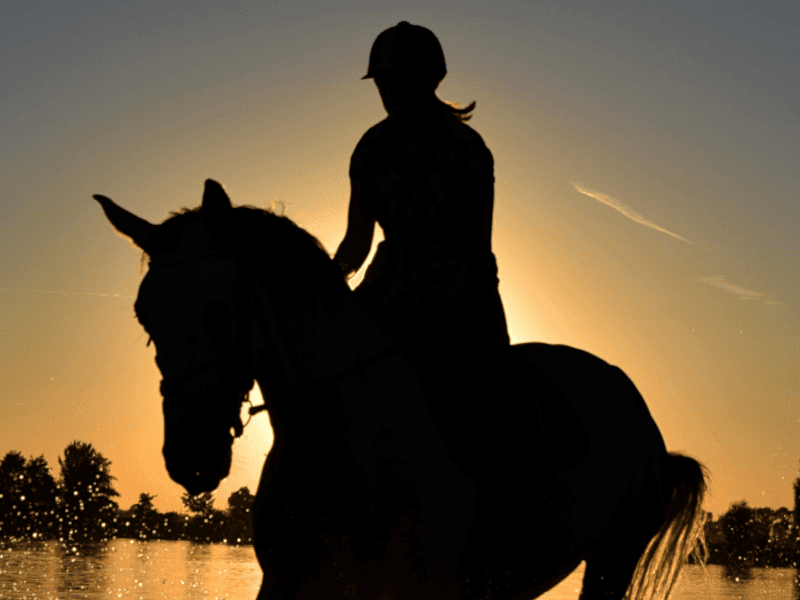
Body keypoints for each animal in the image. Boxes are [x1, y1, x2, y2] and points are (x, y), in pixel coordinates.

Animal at [95, 179, 707, 600]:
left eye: (222, 313)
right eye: (145, 316)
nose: (191, 459)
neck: (345, 448)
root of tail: (637, 409)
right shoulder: (290, 584)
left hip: (612, 558)